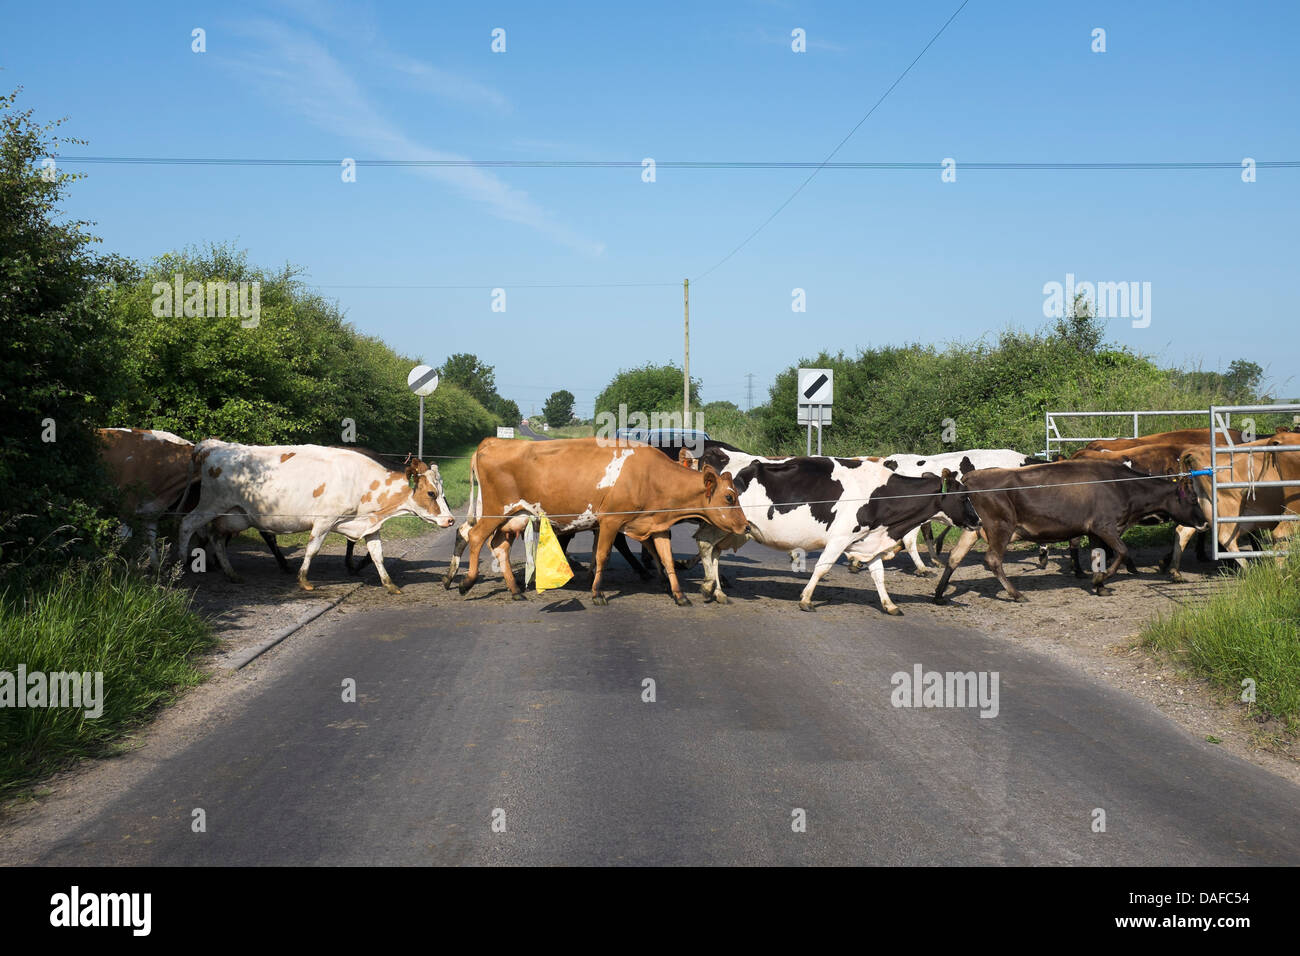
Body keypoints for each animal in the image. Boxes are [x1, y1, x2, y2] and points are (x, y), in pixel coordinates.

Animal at [178, 444, 452, 595]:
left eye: (443, 492)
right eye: (431, 493)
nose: (450, 520)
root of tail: (213, 446)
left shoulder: (369, 525)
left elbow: (377, 555)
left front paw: (390, 585)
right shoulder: (324, 520)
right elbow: (312, 549)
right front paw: (304, 581)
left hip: (234, 516)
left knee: (215, 538)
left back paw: (230, 573)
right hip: (212, 504)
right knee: (186, 525)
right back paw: (181, 567)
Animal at [449, 434, 743, 606]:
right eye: (729, 497)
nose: (744, 525)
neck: (649, 475)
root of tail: (492, 442)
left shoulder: (657, 524)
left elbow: (667, 559)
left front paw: (679, 595)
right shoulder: (610, 522)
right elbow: (602, 556)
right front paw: (597, 593)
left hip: (514, 518)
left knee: (499, 547)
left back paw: (514, 590)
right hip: (495, 511)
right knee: (474, 536)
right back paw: (466, 582)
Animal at [691, 447, 977, 613]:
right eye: (964, 497)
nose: (977, 521)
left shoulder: (869, 539)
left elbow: (878, 575)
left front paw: (890, 605)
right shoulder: (840, 537)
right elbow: (823, 567)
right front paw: (806, 599)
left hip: (735, 529)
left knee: (713, 551)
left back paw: (717, 591)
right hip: (726, 525)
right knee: (705, 544)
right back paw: (709, 587)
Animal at [935, 460, 1206, 600]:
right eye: (1194, 499)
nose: (1204, 522)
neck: (1124, 487)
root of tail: (973, 477)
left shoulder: (1095, 532)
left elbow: (1099, 556)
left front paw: (1099, 584)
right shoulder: (1105, 526)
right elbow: (1122, 551)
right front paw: (1103, 579)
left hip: (974, 528)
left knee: (955, 556)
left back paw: (938, 594)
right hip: (1001, 525)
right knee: (992, 559)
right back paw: (1016, 593)